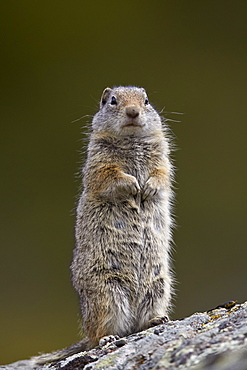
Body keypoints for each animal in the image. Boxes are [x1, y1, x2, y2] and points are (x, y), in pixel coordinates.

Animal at [33, 86, 174, 368]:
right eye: (113, 101)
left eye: (146, 101)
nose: (133, 111)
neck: (132, 141)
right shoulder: (100, 163)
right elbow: (111, 177)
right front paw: (134, 187)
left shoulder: (162, 159)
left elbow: (161, 175)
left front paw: (147, 188)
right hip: (107, 295)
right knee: (102, 331)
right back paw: (107, 338)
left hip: (159, 287)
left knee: (139, 324)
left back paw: (157, 319)